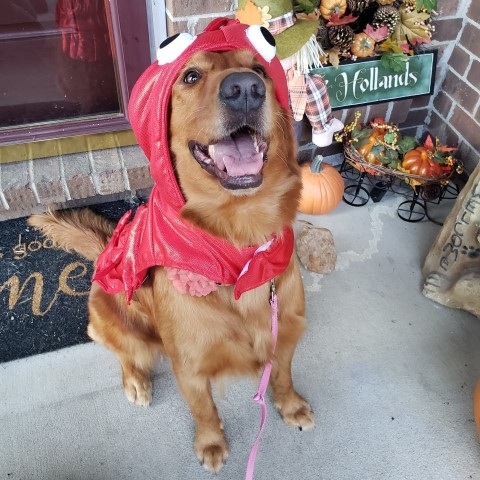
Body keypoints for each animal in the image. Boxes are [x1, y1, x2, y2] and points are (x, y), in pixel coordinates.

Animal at [30, 19, 316, 476]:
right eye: (191, 76)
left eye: (261, 68)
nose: (245, 88)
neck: (239, 243)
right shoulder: (190, 362)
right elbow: (203, 409)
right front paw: (212, 443)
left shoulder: (285, 330)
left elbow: (283, 374)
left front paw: (289, 406)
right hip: (118, 325)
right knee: (125, 352)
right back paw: (136, 381)